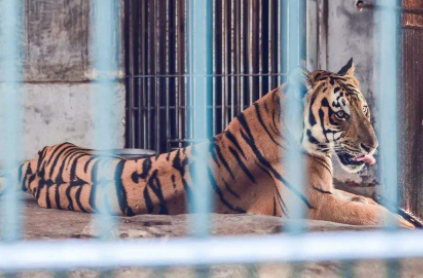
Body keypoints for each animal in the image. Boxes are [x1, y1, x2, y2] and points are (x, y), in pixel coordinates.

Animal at [0, 58, 418, 228]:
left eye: (365, 109)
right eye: (340, 114)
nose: (374, 146)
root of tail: (37, 158)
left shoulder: (329, 192)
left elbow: (367, 203)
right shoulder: (312, 204)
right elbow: (370, 214)